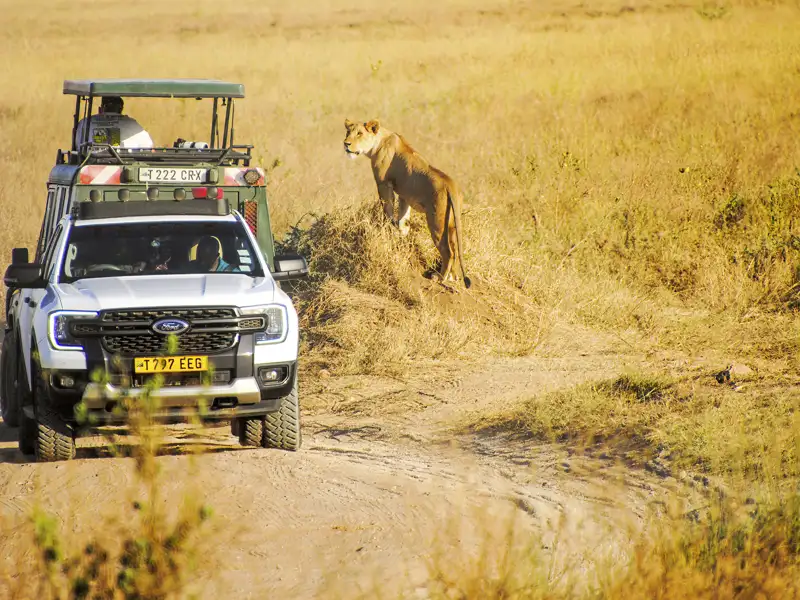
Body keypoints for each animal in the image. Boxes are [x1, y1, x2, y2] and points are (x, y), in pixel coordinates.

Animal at [343, 118, 471, 288]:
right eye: (348, 132)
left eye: (359, 133)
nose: (346, 143)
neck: (378, 142)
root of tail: (450, 185)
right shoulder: (404, 194)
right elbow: (403, 217)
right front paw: (401, 232)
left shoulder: (383, 183)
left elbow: (387, 208)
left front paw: (387, 225)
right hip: (451, 224)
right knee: (455, 247)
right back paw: (453, 276)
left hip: (437, 222)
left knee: (448, 251)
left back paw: (440, 277)